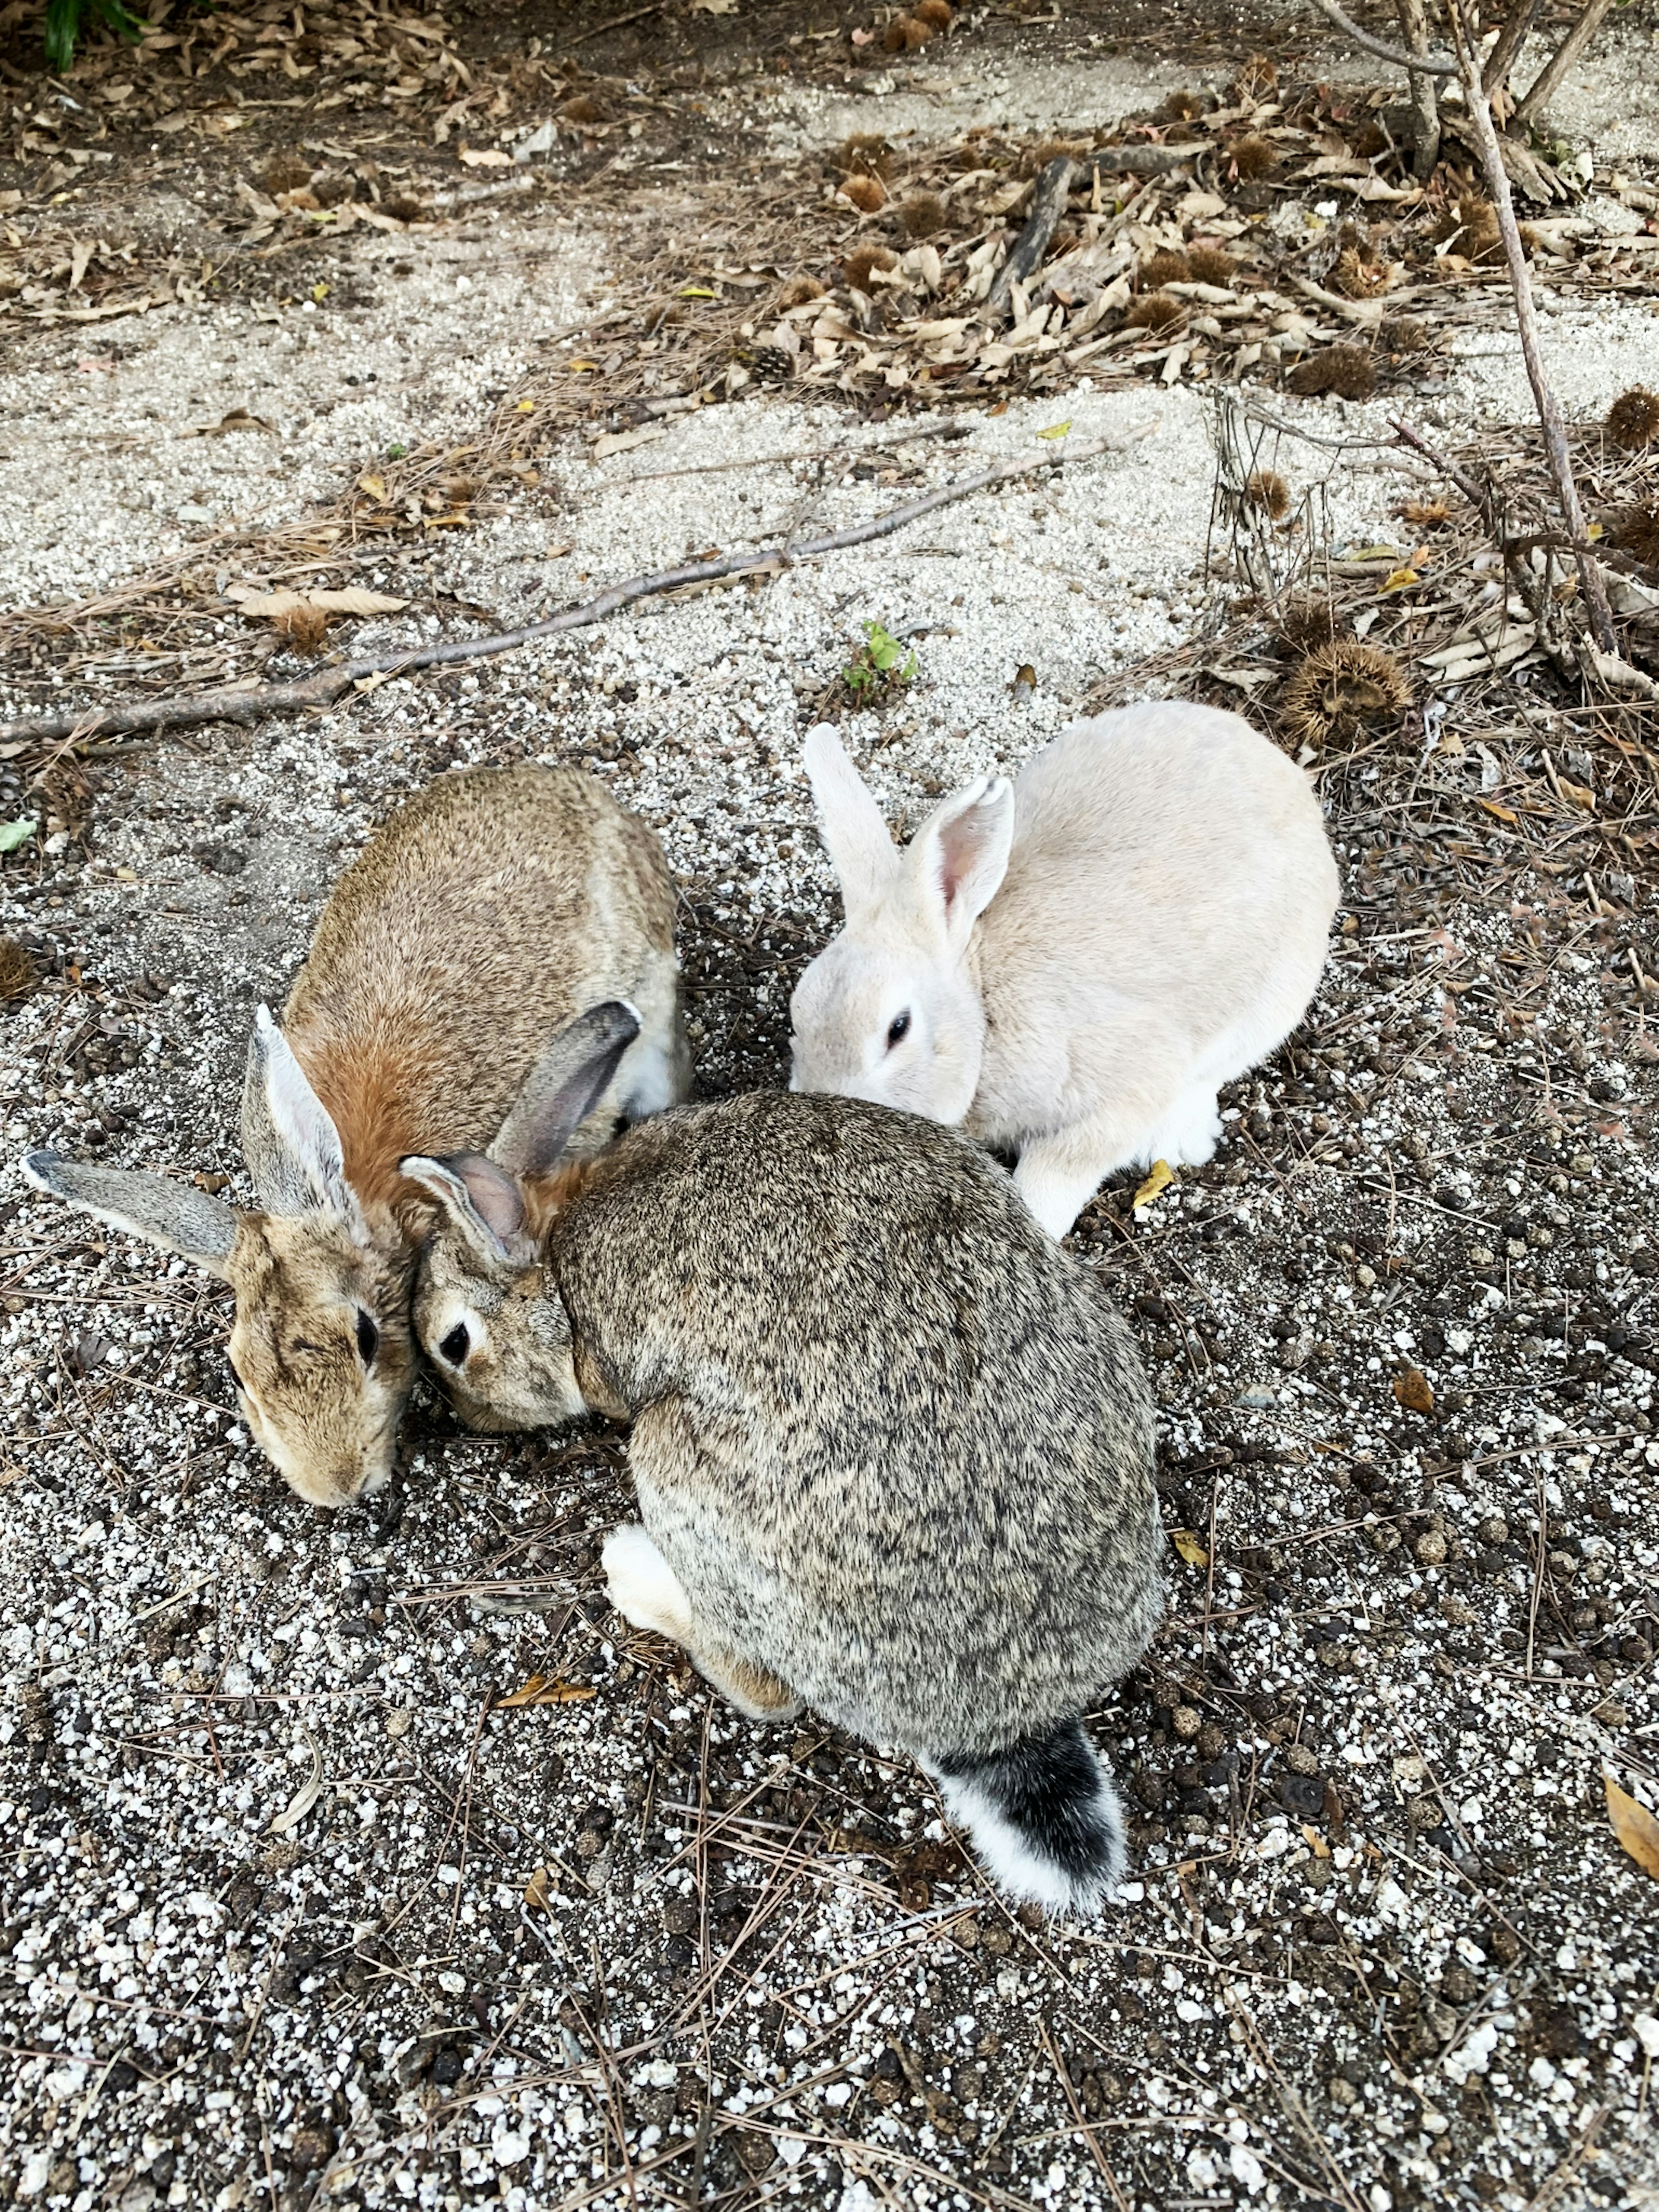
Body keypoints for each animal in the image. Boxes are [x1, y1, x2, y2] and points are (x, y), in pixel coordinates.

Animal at [400, 1008, 1159, 1920]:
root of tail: (1006, 1714)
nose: (469, 1421)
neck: (555, 1254)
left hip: (680, 1476)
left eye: (455, 1344)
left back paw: (634, 1573)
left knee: (765, 1690)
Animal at [787, 703, 1344, 1247]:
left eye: (897, 1029)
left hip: (1273, 999)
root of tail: (1278, 767)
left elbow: (1059, 1174)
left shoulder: (1118, 1095)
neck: (984, 1010)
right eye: (797, 1015)